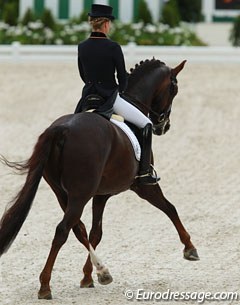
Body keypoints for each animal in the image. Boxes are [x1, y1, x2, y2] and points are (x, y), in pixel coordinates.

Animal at [0, 58, 199, 298]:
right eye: (174, 89)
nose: (163, 126)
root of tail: (62, 129)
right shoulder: (143, 187)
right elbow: (170, 208)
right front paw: (190, 248)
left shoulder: (101, 195)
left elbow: (95, 233)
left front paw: (88, 277)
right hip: (80, 194)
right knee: (62, 230)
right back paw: (46, 285)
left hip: (63, 193)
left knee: (77, 228)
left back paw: (101, 272)